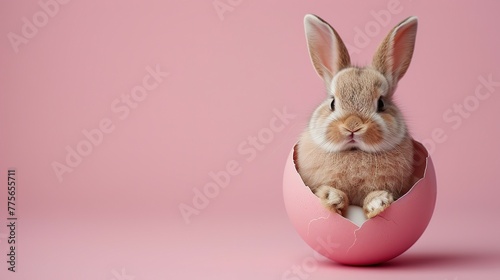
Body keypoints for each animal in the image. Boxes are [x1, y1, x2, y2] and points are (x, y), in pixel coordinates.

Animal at [296, 14, 418, 219]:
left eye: (381, 104)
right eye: (332, 103)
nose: (352, 125)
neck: (354, 152)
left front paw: (378, 202)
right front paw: (332, 197)